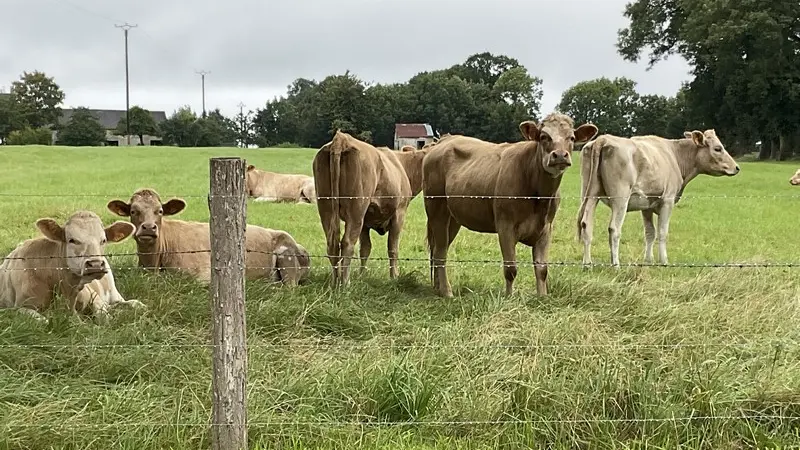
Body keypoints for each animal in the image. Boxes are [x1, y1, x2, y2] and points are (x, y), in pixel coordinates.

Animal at [0, 209, 144, 322]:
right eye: (72, 240)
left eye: (103, 240)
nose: (96, 264)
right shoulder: (20, 308)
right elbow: (45, 321)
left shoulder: (94, 297)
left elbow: (104, 317)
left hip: (113, 292)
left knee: (126, 303)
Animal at [108, 189, 312, 286]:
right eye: (133, 211)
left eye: (160, 211)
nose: (149, 227)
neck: (153, 263)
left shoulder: (204, 275)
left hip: (287, 260)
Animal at [312, 130, 432, 284]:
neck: (401, 166)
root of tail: (341, 139)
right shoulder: (399, 214)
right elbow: (393, 248)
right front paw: (394, 276)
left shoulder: (365, 223)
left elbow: (365, 249)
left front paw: (362, 275)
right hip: (356, 210)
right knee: (347, 243)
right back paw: (345, 282)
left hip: (326, 208)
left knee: (332, 243)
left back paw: (334, 281)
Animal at [422, 111, 596, 298]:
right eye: (544, 136)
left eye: (571, 138)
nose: (560, 155)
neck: (538, 196)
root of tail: (445, 140)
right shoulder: (505, 225)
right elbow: (511, 268)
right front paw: (509, 297)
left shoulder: (546, 228)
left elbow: (542, 269)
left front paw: (542, 297)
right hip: (436, 210)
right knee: (440, 252)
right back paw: (447, 292)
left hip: (453, 218)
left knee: (440, 249)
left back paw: (438, 287)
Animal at [580, 128, 740, 268]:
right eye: (718, 148)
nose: (737, 167)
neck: (675, 156)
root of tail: (603, 139)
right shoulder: (667, 201)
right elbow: (663, 232)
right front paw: (663, 261)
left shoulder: (646, 204)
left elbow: (650, 232)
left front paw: (648, 260)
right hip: (620, 199)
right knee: (614, 229)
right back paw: (616, 265)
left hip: (590, 195)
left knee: (586, 224)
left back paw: (587, 264)